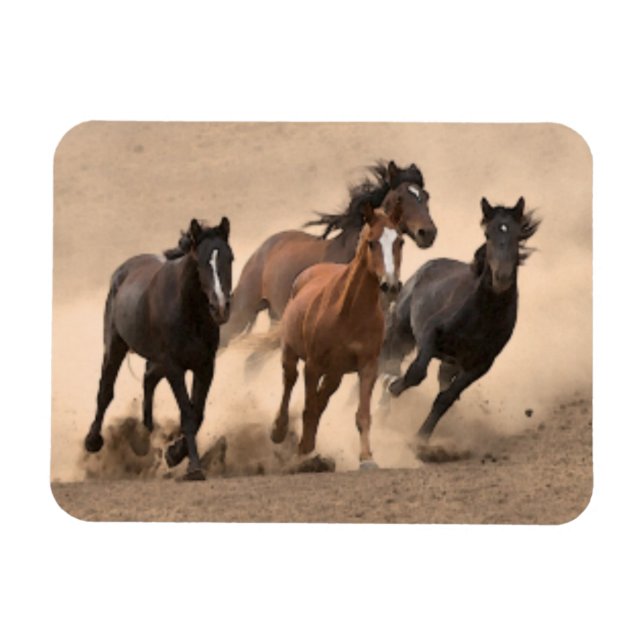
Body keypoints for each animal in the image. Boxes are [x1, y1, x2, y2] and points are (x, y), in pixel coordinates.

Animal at [84, 217, 234, 480]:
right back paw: (93, 440)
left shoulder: (205, 366)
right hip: (115, 346)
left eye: (230, 258)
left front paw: (174, 453)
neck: (189, 311)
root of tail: (122, 271)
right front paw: (194, 468)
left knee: (148, 378)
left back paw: (146, 433)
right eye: (201, 261)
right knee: (105, 390)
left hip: (155, 358)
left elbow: (198, 413)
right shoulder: (174, 367)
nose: (220, 308)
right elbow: (187, 413)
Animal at [270, 202, 405, 468]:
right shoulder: (313, 365)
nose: (391, 285)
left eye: (400, 241)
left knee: (322, 399)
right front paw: (302, 454)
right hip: (291, 353)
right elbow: (308, 407)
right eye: (372, 242)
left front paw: (367, 458)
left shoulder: (368, 366)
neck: (349, 313)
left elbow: (362, 414)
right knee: (289, 382)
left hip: (335, 373)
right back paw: (280, 431)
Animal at [381, 197, 540, 446]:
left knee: (440, 381)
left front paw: (421, 439)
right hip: (401, 332)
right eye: (487, 234)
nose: (502, 278)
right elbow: (415, 373)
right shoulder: (429, 335)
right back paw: (382, 410)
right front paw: (394, 387)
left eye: (518, 236)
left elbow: (446, 398)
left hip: (451, 362)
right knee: (391, 363)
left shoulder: (480, 365)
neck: (481, 315)